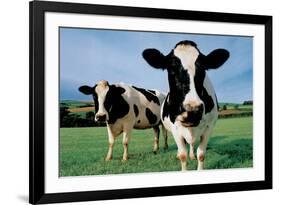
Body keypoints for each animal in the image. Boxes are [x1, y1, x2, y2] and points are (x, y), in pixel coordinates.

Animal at [141, 40, 229, 171]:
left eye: (203, 69)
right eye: (171, 69)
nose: (192, 110)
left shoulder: (209, 126)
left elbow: (201, 154)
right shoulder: (176, 128)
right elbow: (183, 155)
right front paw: (181, 157)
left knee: (191, 144)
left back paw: (192, 155)